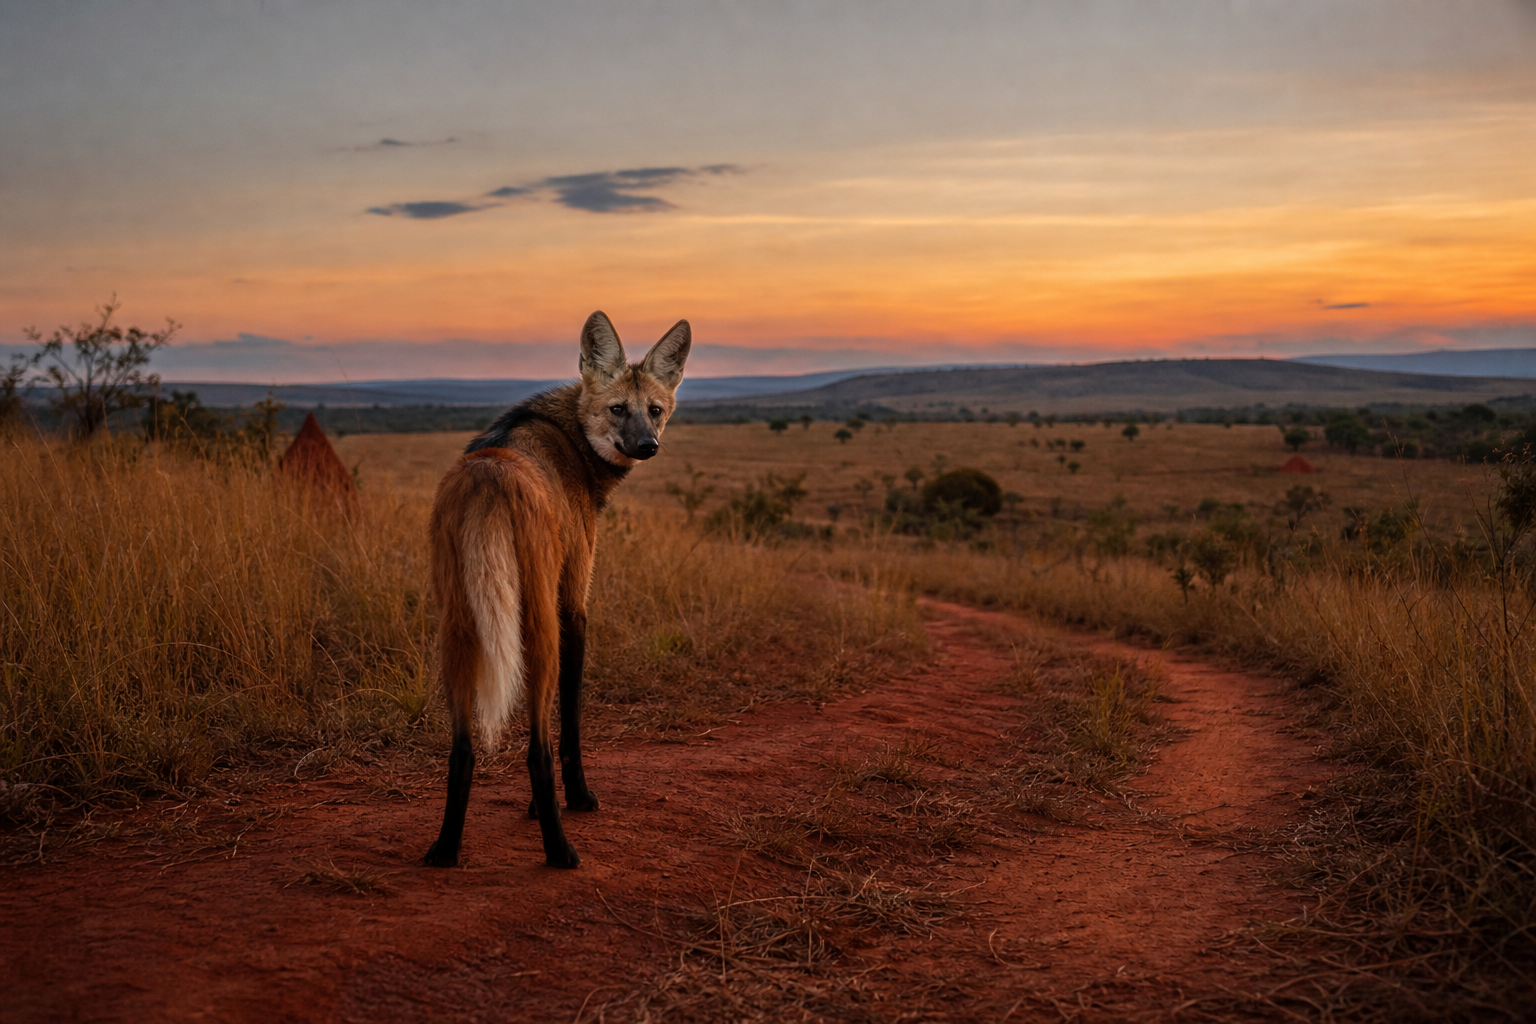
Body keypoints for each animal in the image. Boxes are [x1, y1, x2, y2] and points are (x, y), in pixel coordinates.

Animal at [423, 311, 690, 868]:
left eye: (654, 411)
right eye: (618, 409)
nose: (647, 446)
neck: (570, 440)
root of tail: (487, 474)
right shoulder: (573, 604)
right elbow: (570, 722)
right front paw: (579, 798)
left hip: (457, 627)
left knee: (462, 750)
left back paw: (446, 849)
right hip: (537, 624)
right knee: (537, 749)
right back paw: (560, 850)